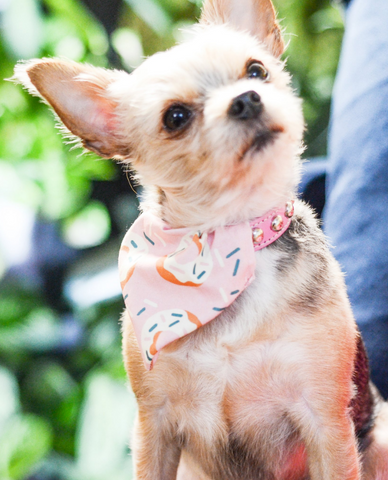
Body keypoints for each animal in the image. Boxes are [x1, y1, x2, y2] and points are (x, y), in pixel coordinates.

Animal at [11, 0, 388, 478]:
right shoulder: (153, 425)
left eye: (256, 70)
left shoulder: (325, 421)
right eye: (175, 117)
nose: (246, 99)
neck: (229, 240)